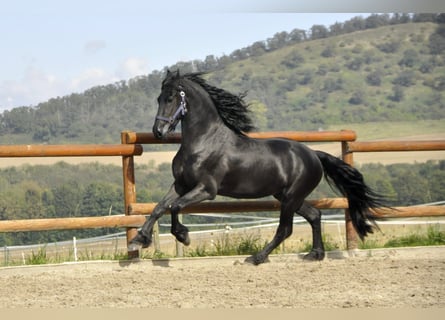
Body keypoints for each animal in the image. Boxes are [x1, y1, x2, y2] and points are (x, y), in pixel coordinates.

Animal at [130, 70, 384, 264]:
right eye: (158, 98)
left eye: (171, 97)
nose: (158, 131)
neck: (203, 142)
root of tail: (313, 154)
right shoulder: (181, 184)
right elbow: (159, 207)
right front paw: (138, 240)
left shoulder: (206, 189)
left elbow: (174, 206)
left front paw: (183, 236)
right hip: (288, 196)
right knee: (314, 215)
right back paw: (315, 254)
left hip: (291, 197)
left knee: (285, 229)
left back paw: (257, 257)